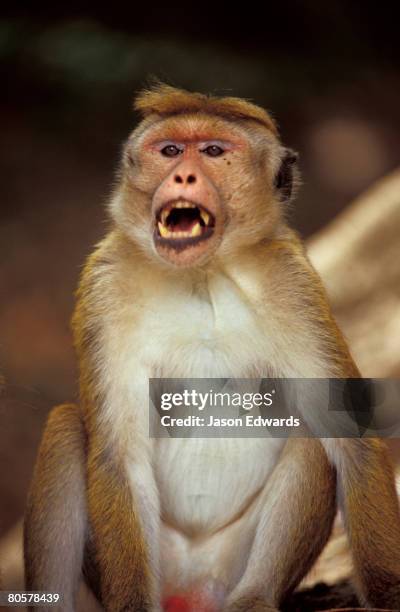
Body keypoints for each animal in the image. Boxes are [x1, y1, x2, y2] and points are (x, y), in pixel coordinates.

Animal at [24, 82, 400, 612]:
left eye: (214, 152)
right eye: (170, 150)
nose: (183, 174)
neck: (200, 274)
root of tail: (190, 592)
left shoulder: (293, 284)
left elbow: (350, 436)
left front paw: (388, 593)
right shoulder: (104, 284)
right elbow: (119, 456)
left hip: (226, 566)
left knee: (309, 436)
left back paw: (253, 598)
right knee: (63, 426)